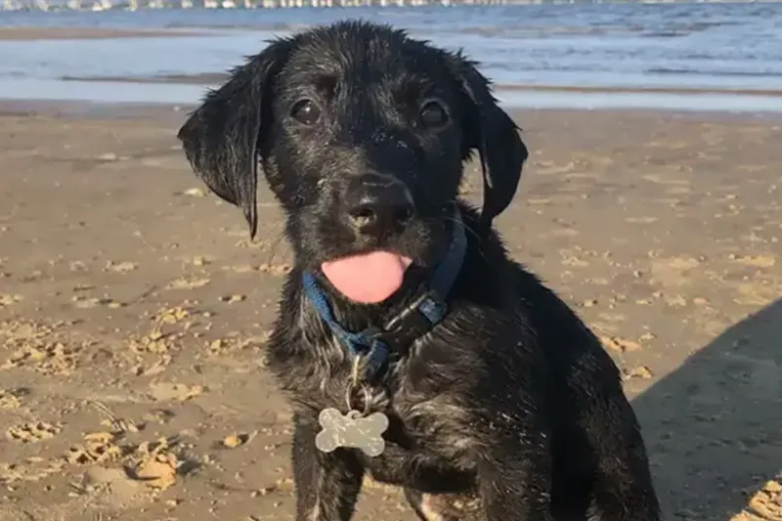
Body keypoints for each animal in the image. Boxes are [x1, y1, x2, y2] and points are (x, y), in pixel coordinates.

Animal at [177, 20, 661, 521]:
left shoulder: (511, 451)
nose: (380, 207)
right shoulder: (318, 433)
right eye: (304, 109)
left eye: (433, 113)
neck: (378, 336)